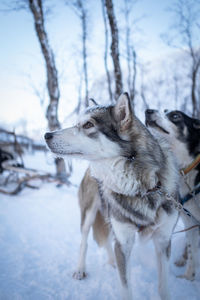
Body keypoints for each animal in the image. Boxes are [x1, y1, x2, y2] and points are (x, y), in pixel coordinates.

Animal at [46, 94, 179, 300]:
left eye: (87, 125)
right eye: (77, 123)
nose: (46, 135)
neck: (143, 188)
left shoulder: (163, 240)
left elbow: (163, 287)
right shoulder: (123, 243)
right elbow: (126, 288)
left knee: (108, 241)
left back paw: (111, 262)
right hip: (89, 215)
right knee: (85, 241)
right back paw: (80, 269)